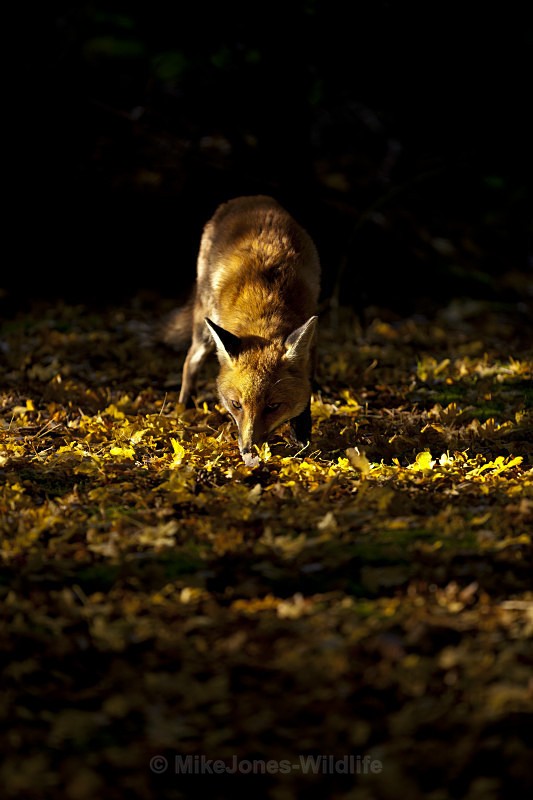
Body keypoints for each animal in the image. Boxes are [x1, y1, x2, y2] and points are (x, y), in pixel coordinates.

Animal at [163, 195, 321, 465]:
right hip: (204, 331)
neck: (265, 311)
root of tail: (250, 198)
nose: (248, 450)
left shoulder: (307, 352)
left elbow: (305, 397)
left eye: (273, 406)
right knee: (190, 362)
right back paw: (184, 407)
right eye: (236, 405)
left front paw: (301, 438)